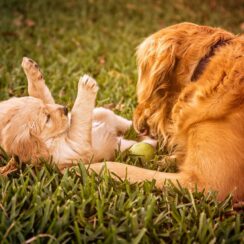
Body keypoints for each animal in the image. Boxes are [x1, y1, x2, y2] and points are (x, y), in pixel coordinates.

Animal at [0, 56, 136, 173]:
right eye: (47, 118)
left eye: (45, 107)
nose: (65, 109)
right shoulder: (75, 149)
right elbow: (77, 120)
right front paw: (86, 86)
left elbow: (41, 94)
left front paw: (31, 69)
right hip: (121, 144)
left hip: (103, 112)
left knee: (125, 123)